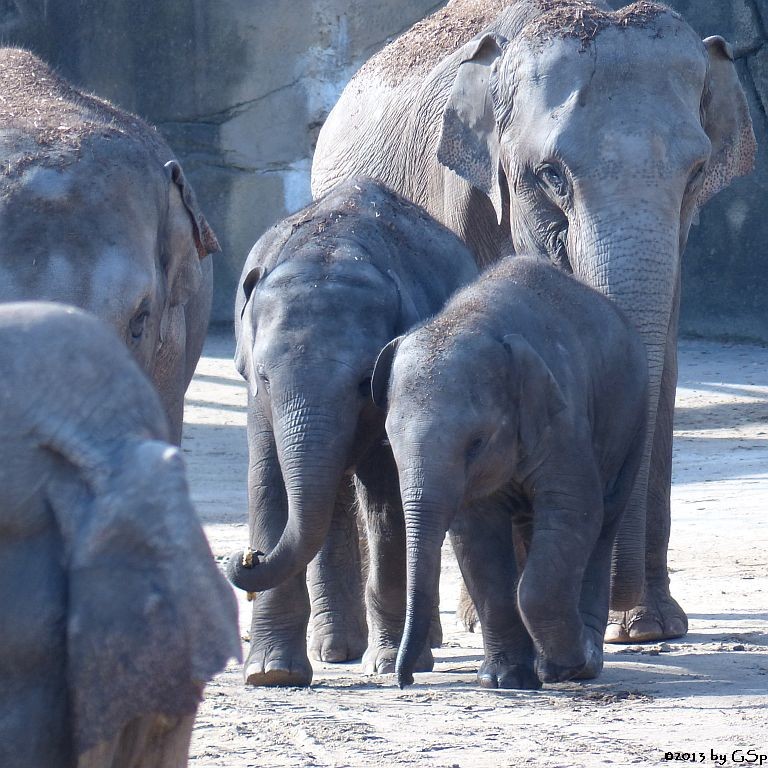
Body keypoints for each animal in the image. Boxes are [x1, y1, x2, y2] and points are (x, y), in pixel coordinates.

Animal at [224, 178, 480, 684]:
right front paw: (271, 675)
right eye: (263, 377)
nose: (244, 557)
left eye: (365, 381)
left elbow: (386, 496)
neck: (331, 247)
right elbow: (268, 483)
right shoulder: (256, 402)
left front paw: (385, 664)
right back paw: (334, 649)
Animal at [312, 0, 756, 640]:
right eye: (550, 175)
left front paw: (652, 628)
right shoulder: (467, 199)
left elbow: (663, 371)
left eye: (696, 172)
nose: (620, 611)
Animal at [372, 258, 648, 688]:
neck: (474, 317)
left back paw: (580, 662)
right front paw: (504, 680)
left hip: (632, 421)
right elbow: (477, 538)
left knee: (605, 520)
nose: (404, 680)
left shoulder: (563, 420)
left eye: (476, 442)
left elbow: (574, 510)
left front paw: (570, 665)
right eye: (389, 440)